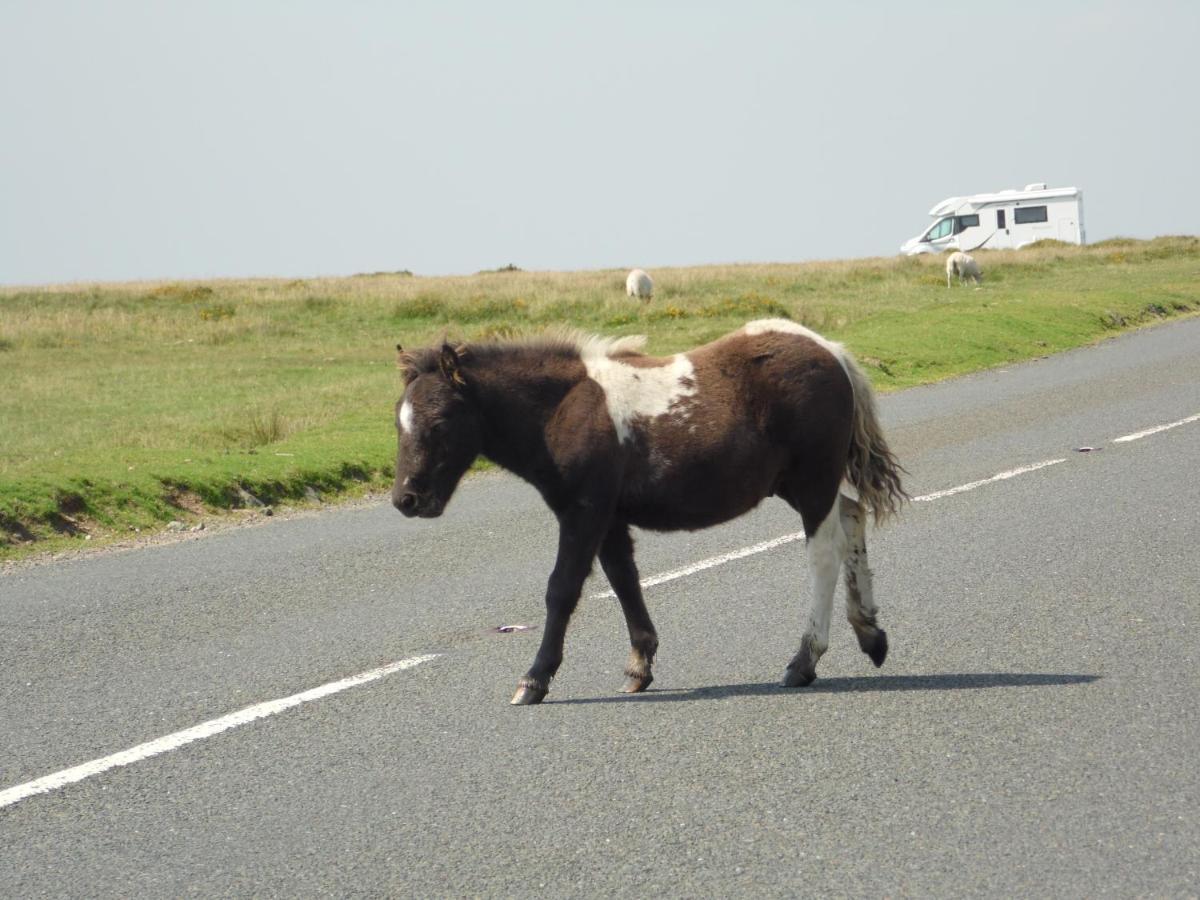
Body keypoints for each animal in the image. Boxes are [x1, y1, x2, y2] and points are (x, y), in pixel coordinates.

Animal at [393, 316, 907, 705]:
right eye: (399, 421)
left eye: (440, 421)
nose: (406, 499)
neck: (563, 409)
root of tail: (832, 352)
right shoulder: (609, 517)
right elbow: (624, 581)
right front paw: (639, 667)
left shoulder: (583, 511)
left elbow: (562, 590)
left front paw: (534, 680)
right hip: (802, 484)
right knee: (853, 518)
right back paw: (870, 633)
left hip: (812, 480)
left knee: (824, 553)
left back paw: (804, 660)